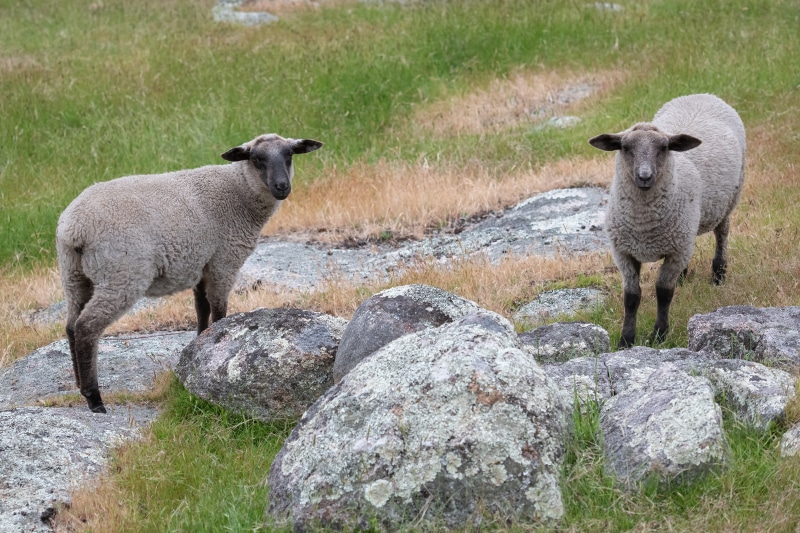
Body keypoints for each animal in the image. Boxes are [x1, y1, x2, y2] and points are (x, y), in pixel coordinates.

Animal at [56, 133, 322, 412]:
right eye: (257, 159)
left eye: (289, 155)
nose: (282, 186)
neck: (238, 192)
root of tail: (74, 229)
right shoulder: (223, 262)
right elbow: (218, 310)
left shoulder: (200, 264)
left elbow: (201, 309)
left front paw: (199, 346)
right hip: (121, 274)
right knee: (86, 327)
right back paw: (94, 398)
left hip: (74, 275)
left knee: (71, 326)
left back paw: (79, 384)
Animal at [588, 94, 745, 348]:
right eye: (625, 147)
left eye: (663, 148)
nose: (644, 176)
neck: (643, 225)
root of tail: (702, 94)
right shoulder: (624, 252)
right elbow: (631, 297)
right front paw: (626, 340)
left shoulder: (675, 251)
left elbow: (663, 292)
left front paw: (659, 335)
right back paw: (684, 276)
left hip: (729, 200)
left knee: (722, 233)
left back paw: (718, 275)